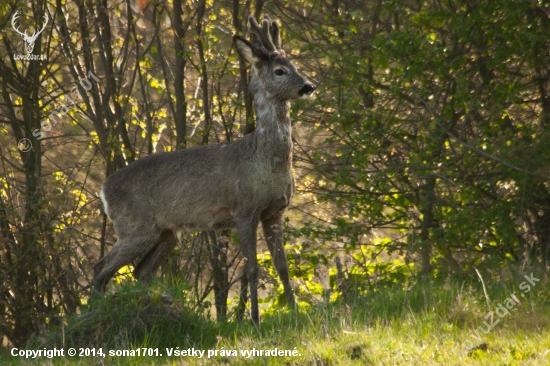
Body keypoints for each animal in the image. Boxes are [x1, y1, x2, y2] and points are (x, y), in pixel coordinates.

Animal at [93, 14, 316, 324]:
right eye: (279, 71)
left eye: (294, 64)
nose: (309, 86)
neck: (267, 161)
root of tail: (103, 189)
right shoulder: (244, 210)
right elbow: (252, 269)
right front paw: (255, 321)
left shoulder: (275, 212)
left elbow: (282, 267)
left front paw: (295, 314)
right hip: (134, 227)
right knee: (100, 268)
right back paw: (98, 313)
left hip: (167, 232)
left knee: (139, 270)